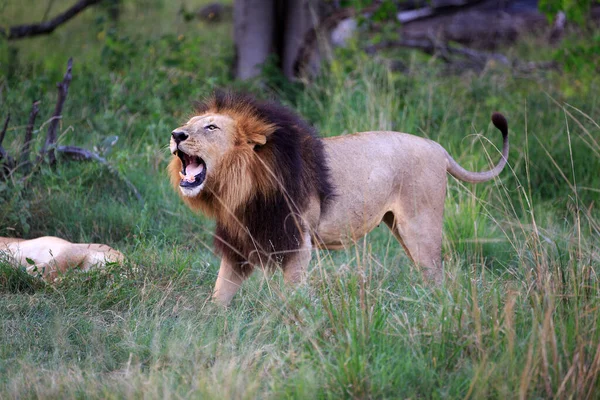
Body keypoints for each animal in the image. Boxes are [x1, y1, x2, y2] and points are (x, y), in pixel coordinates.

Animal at [169, 92, 510, 304]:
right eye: (188, 124)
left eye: (211, 127)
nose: (176, 134)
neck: (239, 187)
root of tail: (438, 148)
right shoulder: (239, 243)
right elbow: (220, 294)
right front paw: (211, 324)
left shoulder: (298, 242)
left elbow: (291, 293)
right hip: (402, 229)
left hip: (420, 227)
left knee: (437, 278)